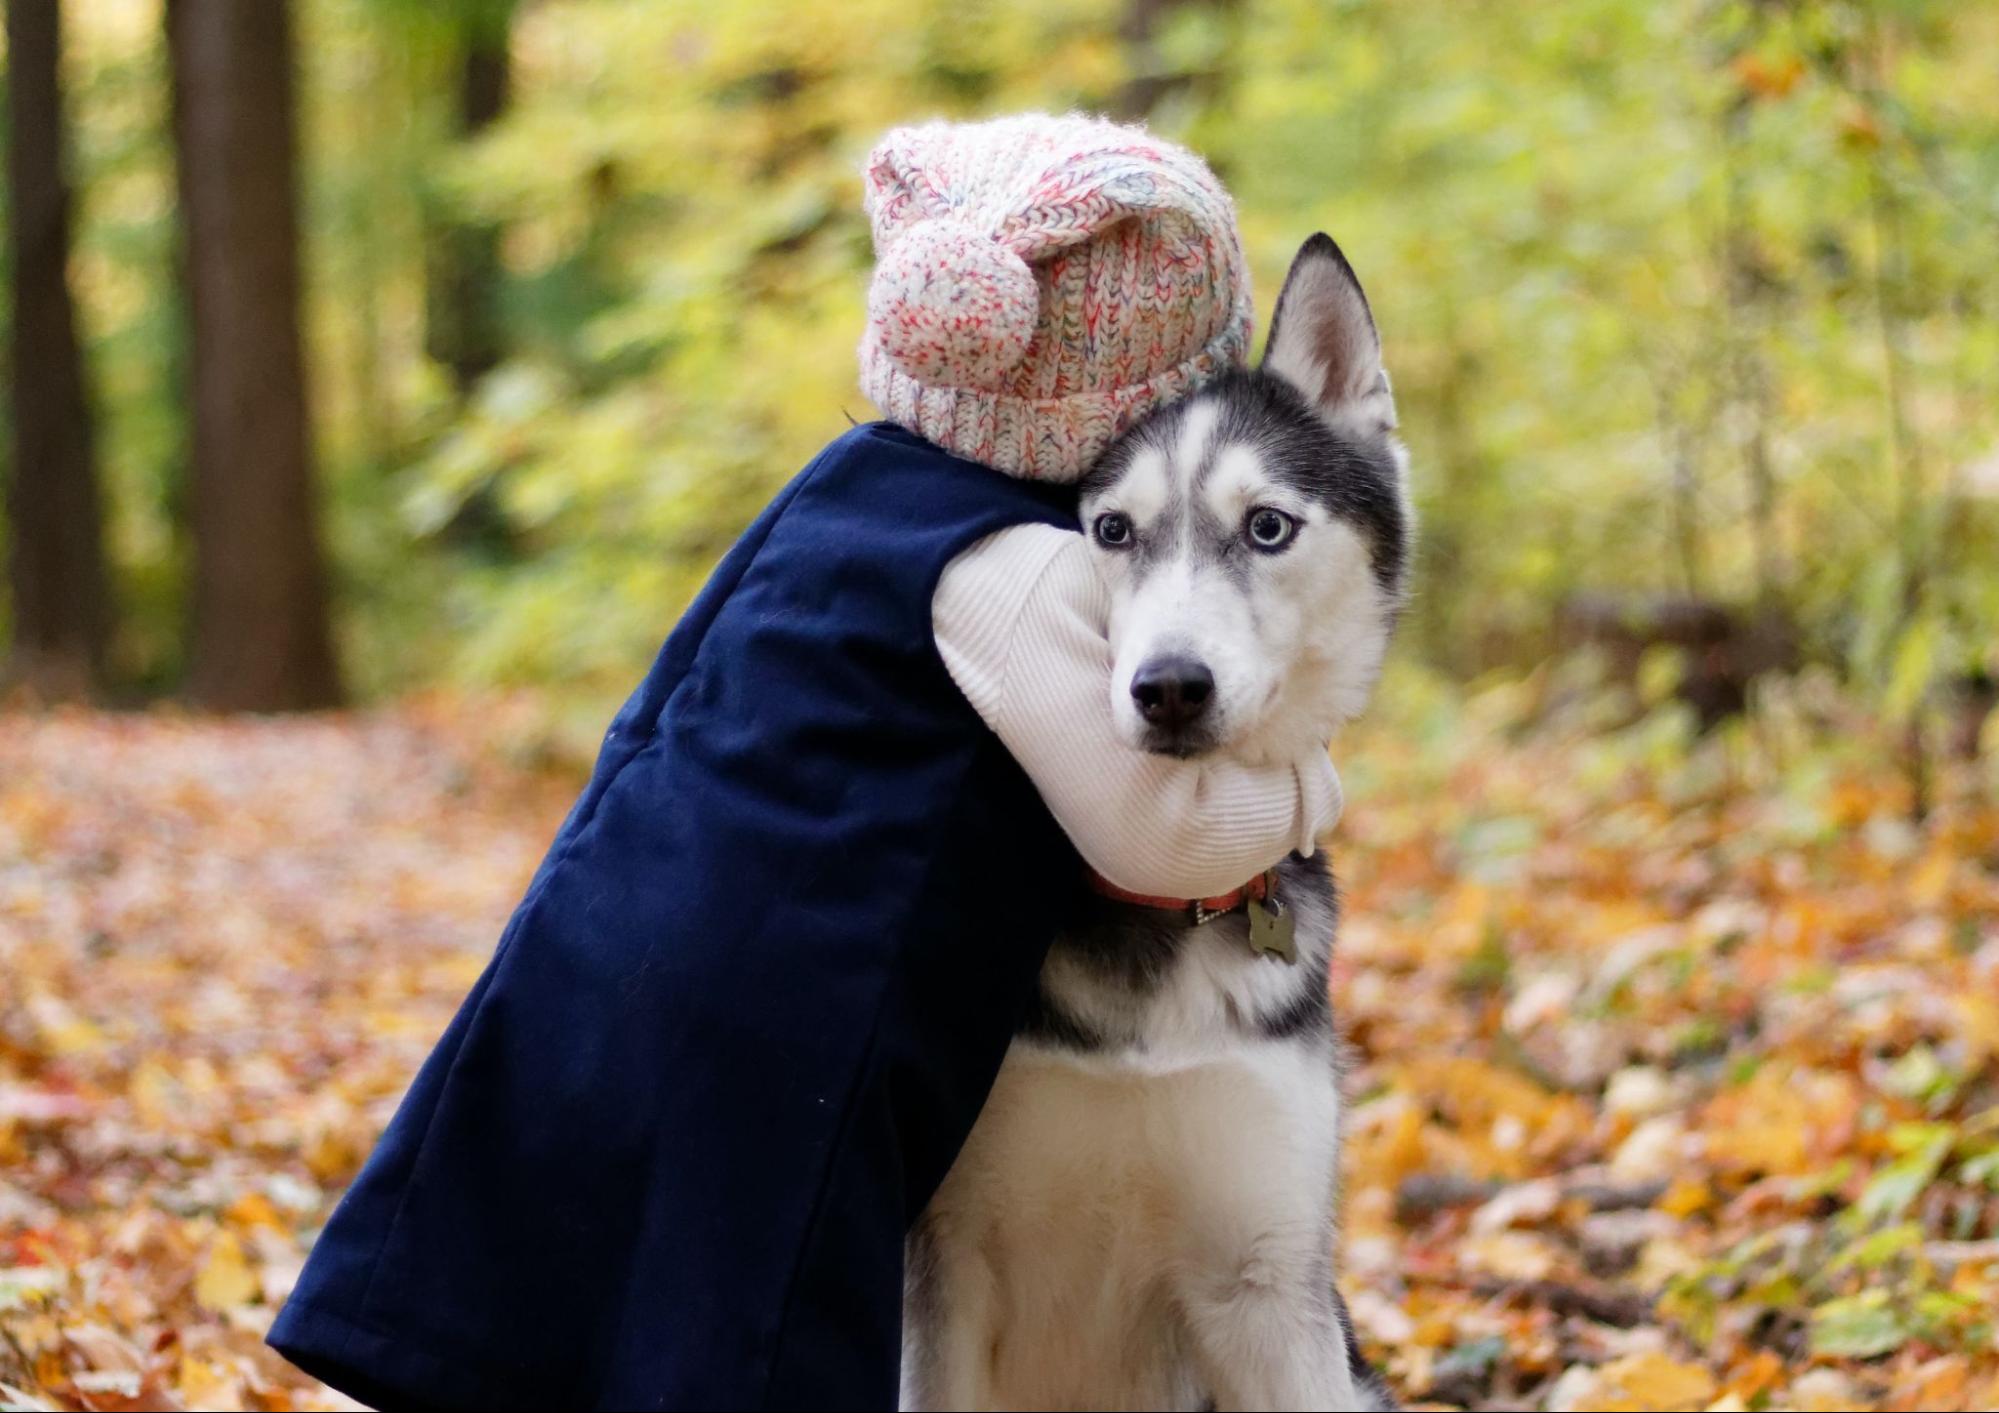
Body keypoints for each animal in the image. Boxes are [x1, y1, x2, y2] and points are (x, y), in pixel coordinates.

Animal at [903, 234, 1407, 1413]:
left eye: (1266, 527)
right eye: (1109, 531)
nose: (1168, 687)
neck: (1156, 895)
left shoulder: (1268, 1288)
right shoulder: (945, 1284)